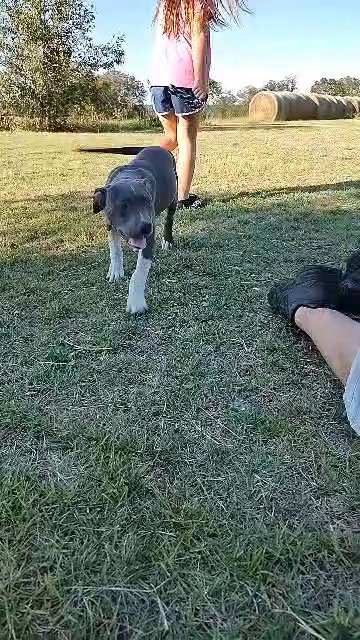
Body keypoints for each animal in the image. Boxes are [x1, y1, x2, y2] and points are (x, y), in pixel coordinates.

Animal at [81, 146, 177, 316]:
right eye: (123, 205)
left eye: (147, 201)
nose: (146, 226)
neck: (127, 178)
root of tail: (160, 147)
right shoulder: (110, 225)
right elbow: (115, 250)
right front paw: (115, 270)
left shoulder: (149, 239)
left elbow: (139, 272)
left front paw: (136, 301)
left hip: (174, 196)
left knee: (169, 219)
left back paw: (167, 240)